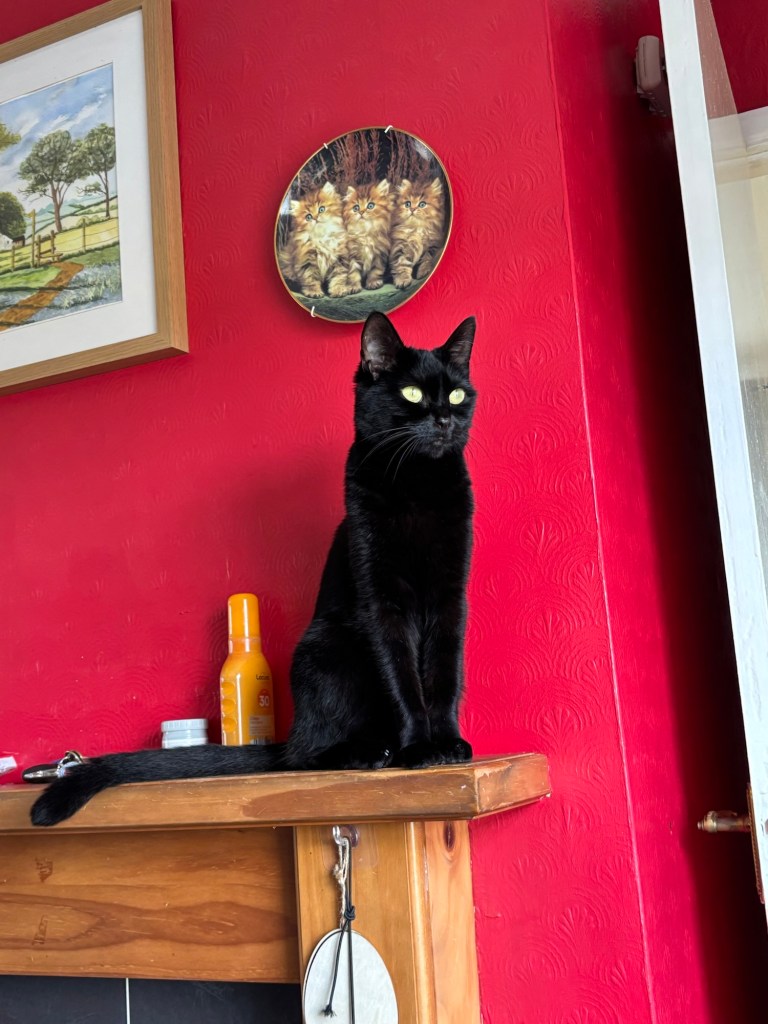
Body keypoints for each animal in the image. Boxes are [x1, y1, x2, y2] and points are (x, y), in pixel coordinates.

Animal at [30, 311, 477, 827]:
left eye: (458, 394)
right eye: (412, 394)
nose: (445, 417)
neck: (420, 485)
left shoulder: (450, 596)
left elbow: (445, 673)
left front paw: (447, 743)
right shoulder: (381, 601)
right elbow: (402, 678)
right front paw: (419, 748)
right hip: (326, 648)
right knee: (304, 754)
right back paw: (367, 752)